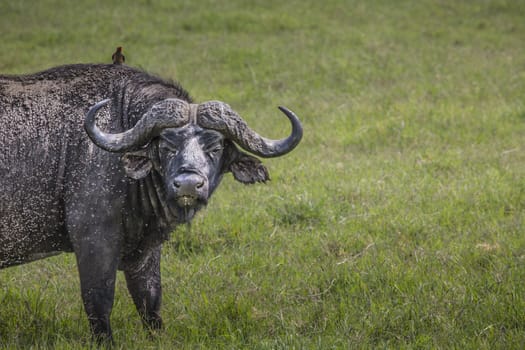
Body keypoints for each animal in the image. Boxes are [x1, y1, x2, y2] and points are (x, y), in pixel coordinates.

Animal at [0, 63, 300, 342]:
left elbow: (150, 299)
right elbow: (98, 301)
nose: (188, 184)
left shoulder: (146, 248)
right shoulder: (93, 239)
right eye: (166, 146)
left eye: (215, 148)